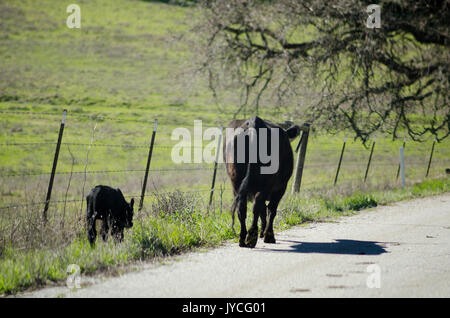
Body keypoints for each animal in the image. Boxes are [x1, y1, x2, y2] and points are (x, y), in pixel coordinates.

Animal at [223, 115, 300, 247]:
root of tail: (254, 121)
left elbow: (263, 211)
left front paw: (263, 232)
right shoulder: (280, 188)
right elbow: (270, 210)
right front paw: (268, 235)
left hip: (235, 183)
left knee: (242, 208)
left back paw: (243, 238)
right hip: (267, 183)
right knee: (258, 206)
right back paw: (252, 236)